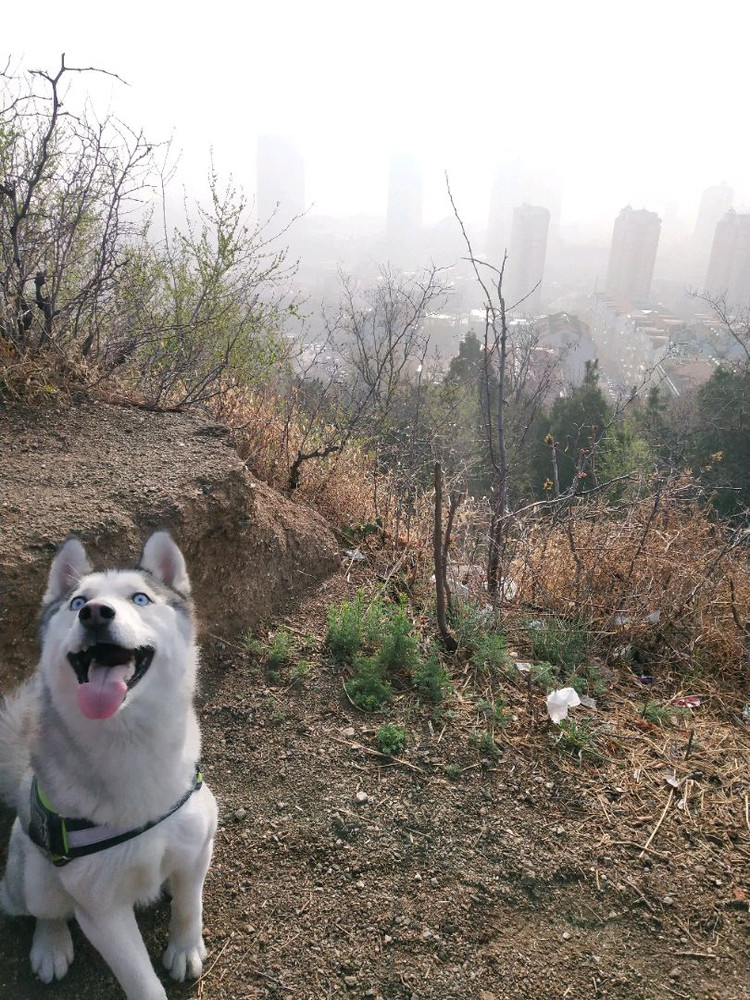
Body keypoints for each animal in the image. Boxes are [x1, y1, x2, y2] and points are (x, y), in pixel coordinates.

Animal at [0, 532, 217, 1000]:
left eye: (140, 598)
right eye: (77, 602)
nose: (95, 613)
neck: (130, 744)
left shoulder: (197, 846)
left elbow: (190, 904)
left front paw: (185, 947)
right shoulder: (100, 910)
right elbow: (140, 981)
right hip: (31, 881)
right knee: (46, 910)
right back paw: (50, 946)